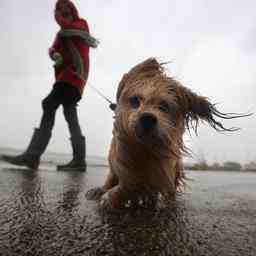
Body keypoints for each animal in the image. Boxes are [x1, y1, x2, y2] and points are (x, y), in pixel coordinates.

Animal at [86, 57, 248, 208]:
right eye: (135, 100)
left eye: (164, 106)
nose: (147, 118)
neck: (143, 150)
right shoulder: (121, 161)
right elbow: (120, 180)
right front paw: (106, 193)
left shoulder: (160, 169)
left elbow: (133, 185)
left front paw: (111, 197)